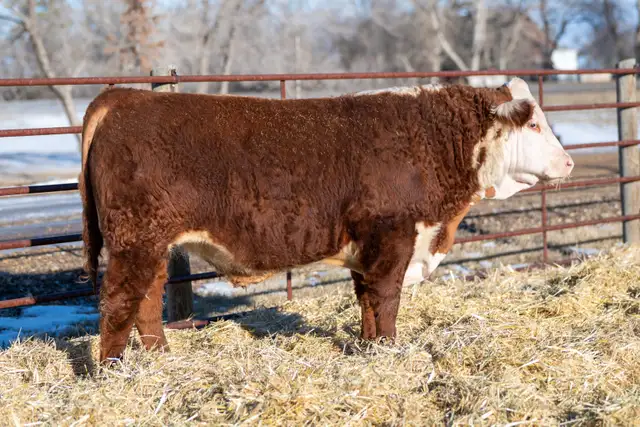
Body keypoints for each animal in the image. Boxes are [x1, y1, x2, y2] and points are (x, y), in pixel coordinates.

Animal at [78, 77, 573, 363]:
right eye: (534, 126)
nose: (568, 163)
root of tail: (125, 96)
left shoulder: (367, 246)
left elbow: (367, 300)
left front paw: (370, 346)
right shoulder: (392, 235)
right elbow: (387, 298)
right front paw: (390, 350)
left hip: (153, 243)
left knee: (148, 297)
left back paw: (161, 359)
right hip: (135, 237)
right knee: (119, 300)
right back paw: (114, 370)